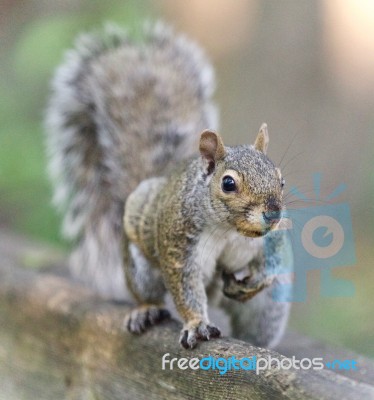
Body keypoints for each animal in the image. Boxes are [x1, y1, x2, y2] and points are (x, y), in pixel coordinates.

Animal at [46, 21, 292, 348]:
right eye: (228, 183)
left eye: (281, 180)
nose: (273, 213)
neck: (230, 230)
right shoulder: (179, 243)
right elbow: (184, 287)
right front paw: (198, 324)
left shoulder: (272, 240)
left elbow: (273, 261)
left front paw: (257, 279)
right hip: (140, 265)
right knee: (149, 293)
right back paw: (146, 310)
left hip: (268, 310)